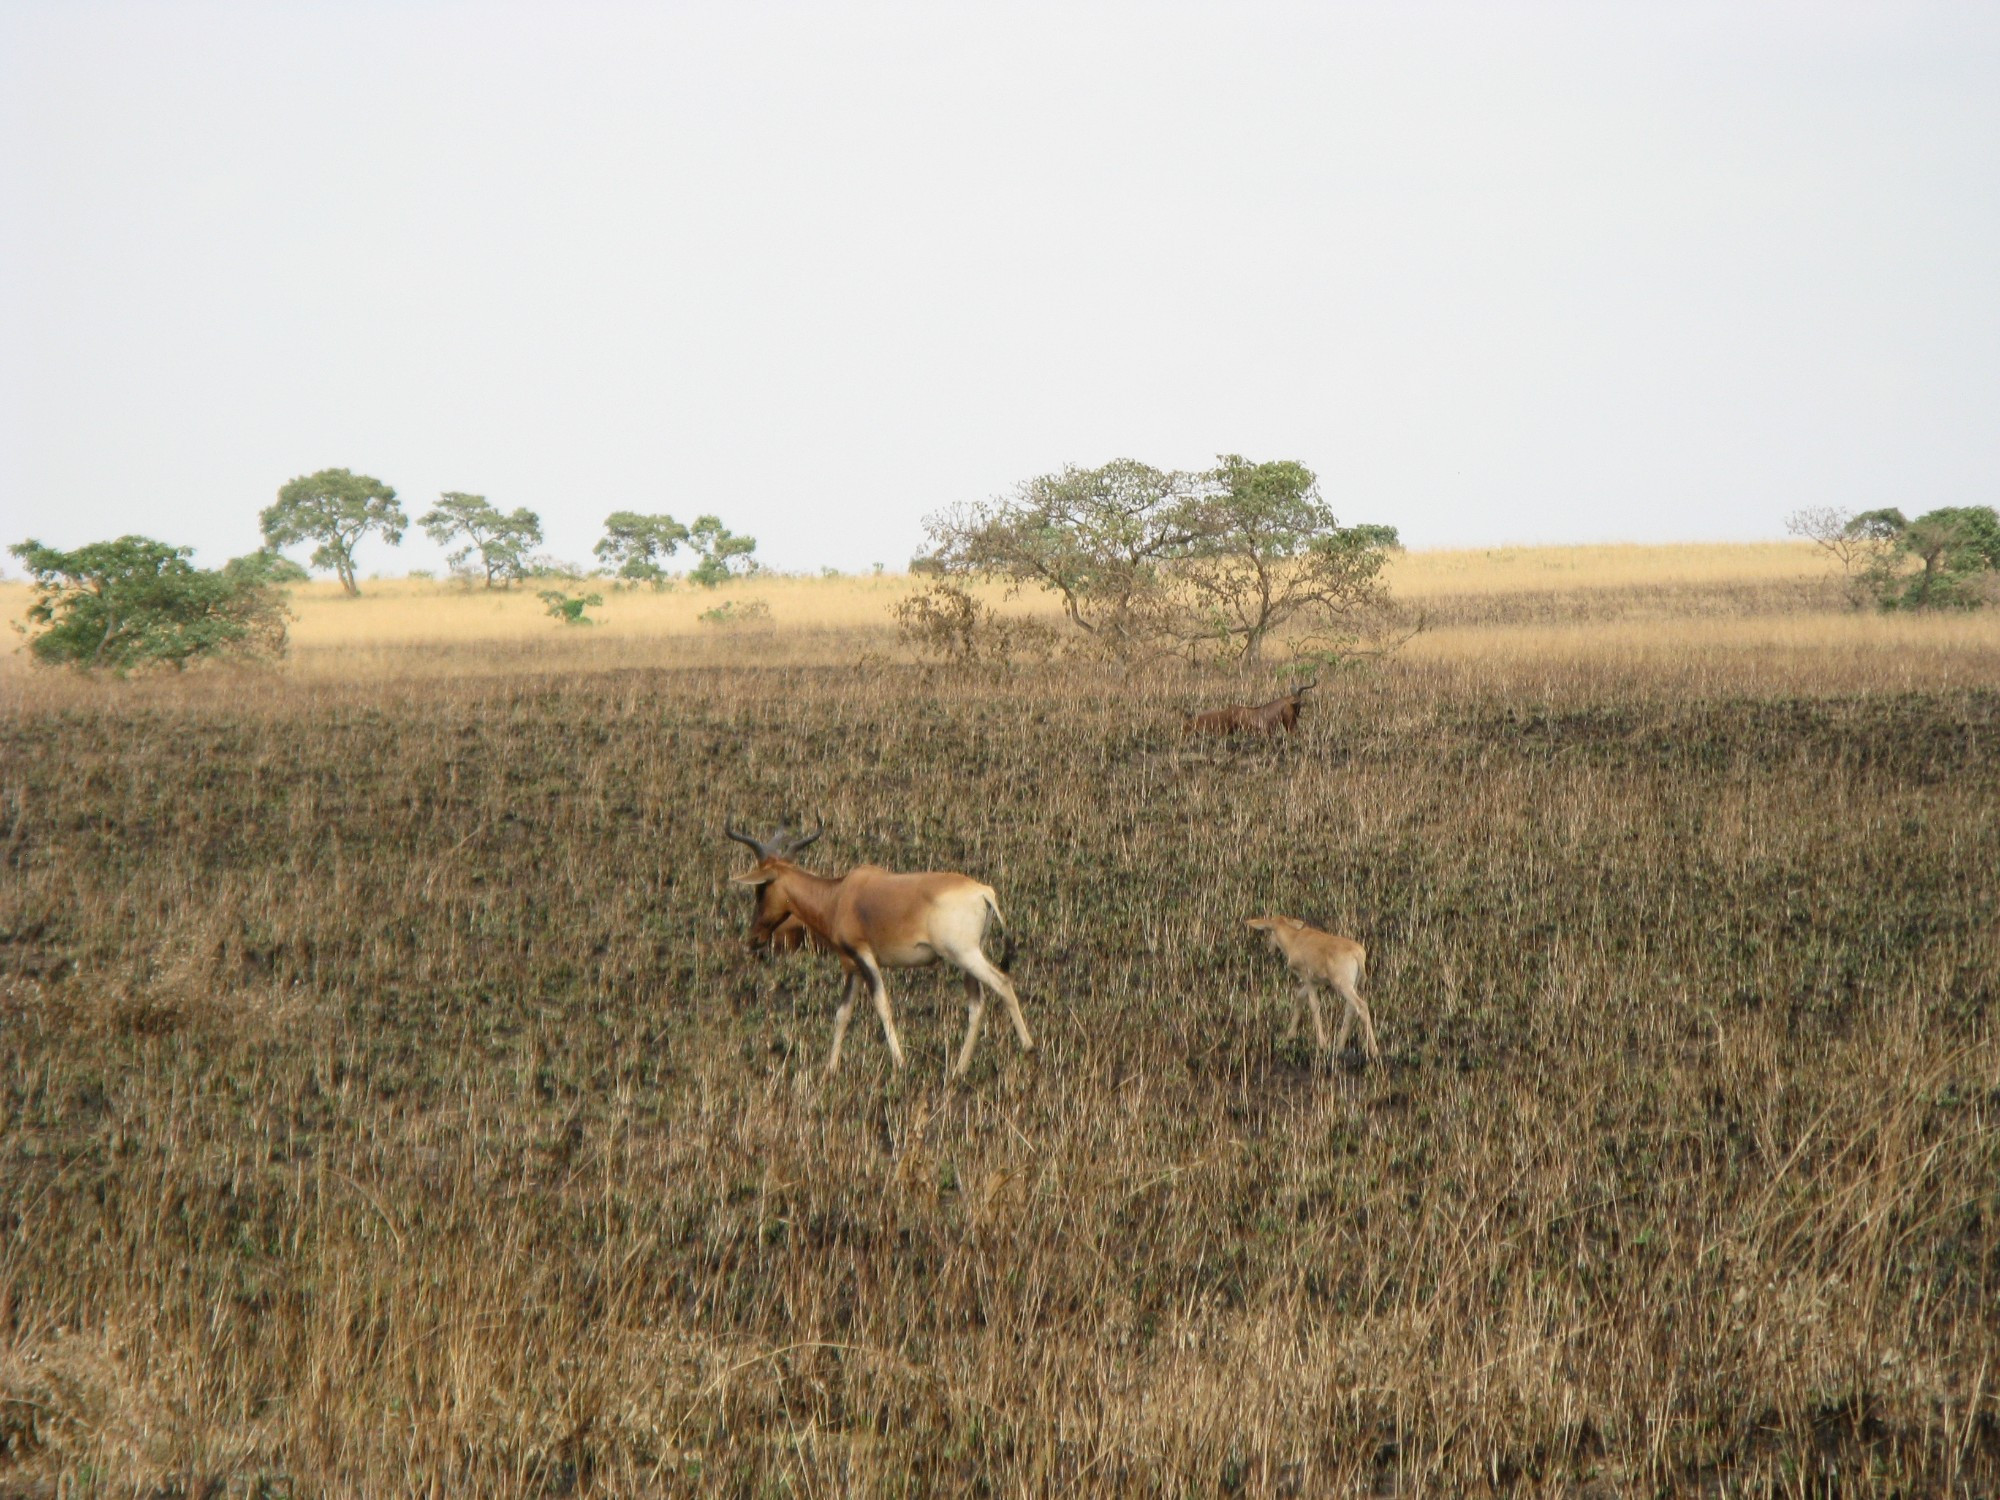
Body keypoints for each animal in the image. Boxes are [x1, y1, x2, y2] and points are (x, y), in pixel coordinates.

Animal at [724, 824, 1040, 1080]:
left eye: (761, 888)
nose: (754, 938)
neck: (841, 894)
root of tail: (983, 892)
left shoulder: (865, 957)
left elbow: (882, 1005)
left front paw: (900, 1062)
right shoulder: (852, 966)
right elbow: (843, 1013)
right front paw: (830, 1069)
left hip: (965, 955)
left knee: (1002, 982)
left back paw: (1028, 1047)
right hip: (966, 959)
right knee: (977, 1003)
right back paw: (959, 1069)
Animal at [1240, 916, 1384, 1072]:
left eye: (1269, 930)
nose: (1270, 950)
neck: (1296, 938)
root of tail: (1358, 953)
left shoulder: (1308, 979)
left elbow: (1314, 1005)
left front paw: (1322, 1044)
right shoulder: (1315, 981)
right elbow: (1299, 998)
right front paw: (1290, 1037)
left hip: (1343, 985)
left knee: (1361, 1006)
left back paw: (1374, 1052)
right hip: (1352, 985)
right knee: (1351, 1010)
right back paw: (1339, 1048)